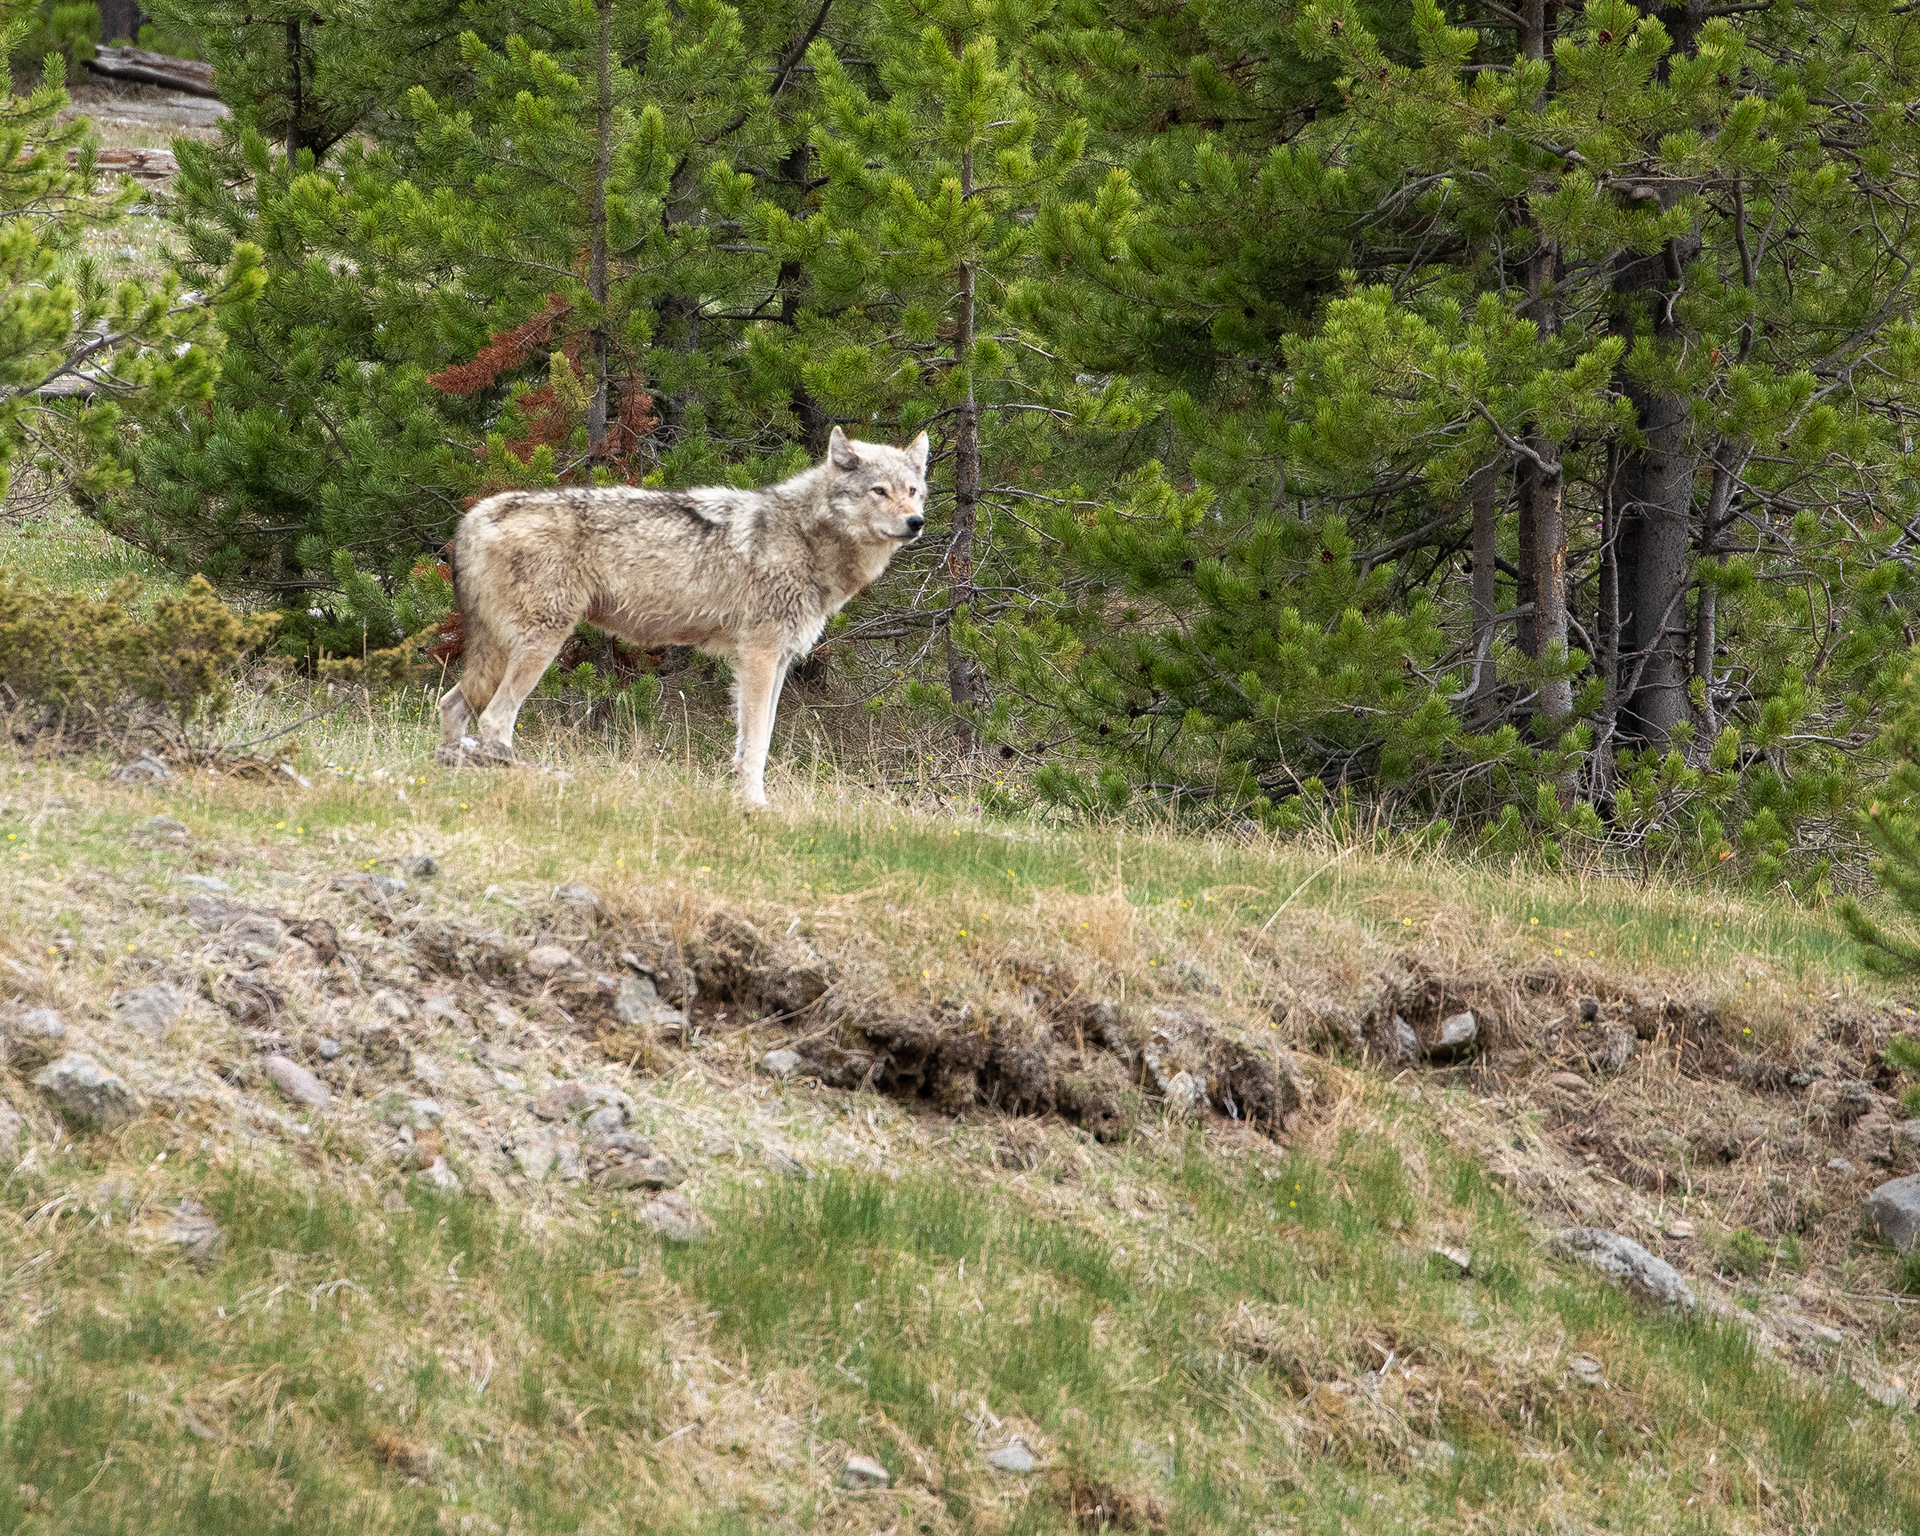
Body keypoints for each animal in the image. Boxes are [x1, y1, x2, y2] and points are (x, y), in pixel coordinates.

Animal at [435, 426, 927, 805]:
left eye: (912, 491)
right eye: (879, 491)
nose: (916, 522)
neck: (807, 539)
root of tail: (474, 516)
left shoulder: (781, 660)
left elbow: (758, 741)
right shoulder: (759, 656)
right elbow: (754, 746)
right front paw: (755, 807)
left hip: (499, 653)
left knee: (452, 704)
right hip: (541, 646)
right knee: (495, 719)